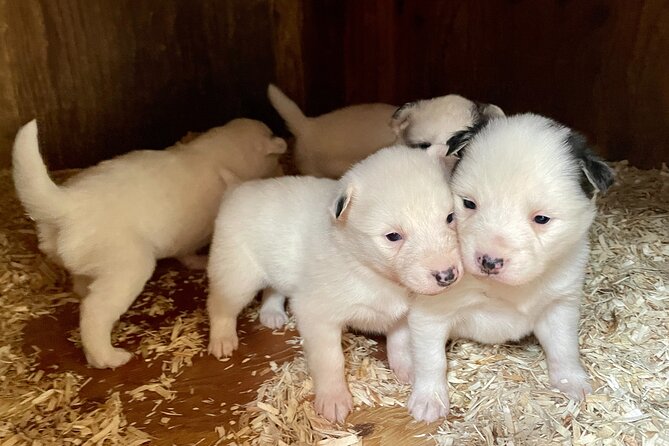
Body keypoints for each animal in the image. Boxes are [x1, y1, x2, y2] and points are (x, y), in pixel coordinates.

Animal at [11, 118, 286, 370]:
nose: (282, 169)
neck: (219, 151)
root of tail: (67, 203)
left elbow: (185, 253)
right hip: (129, 268)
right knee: (93, 312)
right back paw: (107, 357)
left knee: (81, 284)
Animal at [206, 145, 462, 422]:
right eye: (393, 236)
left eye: (450, 217)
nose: (447, 275)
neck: (368, 270)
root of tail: (237, 188)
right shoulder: (317, 316)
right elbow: (330, 360)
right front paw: (333, 400)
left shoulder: (402, 314)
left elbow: (400, 342)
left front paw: (407, 369)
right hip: (236, 275)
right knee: (220, 305)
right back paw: (222, 339)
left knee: (272, 288)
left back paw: (271, 313)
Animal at [404, 113, 612, 424]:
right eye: (469, 203)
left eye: (541, 218)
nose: (489, 261)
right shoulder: (431, 312)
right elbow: (431, 359)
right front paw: (430, 399)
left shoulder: (559, 304)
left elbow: (564, 347)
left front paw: (572, 383)